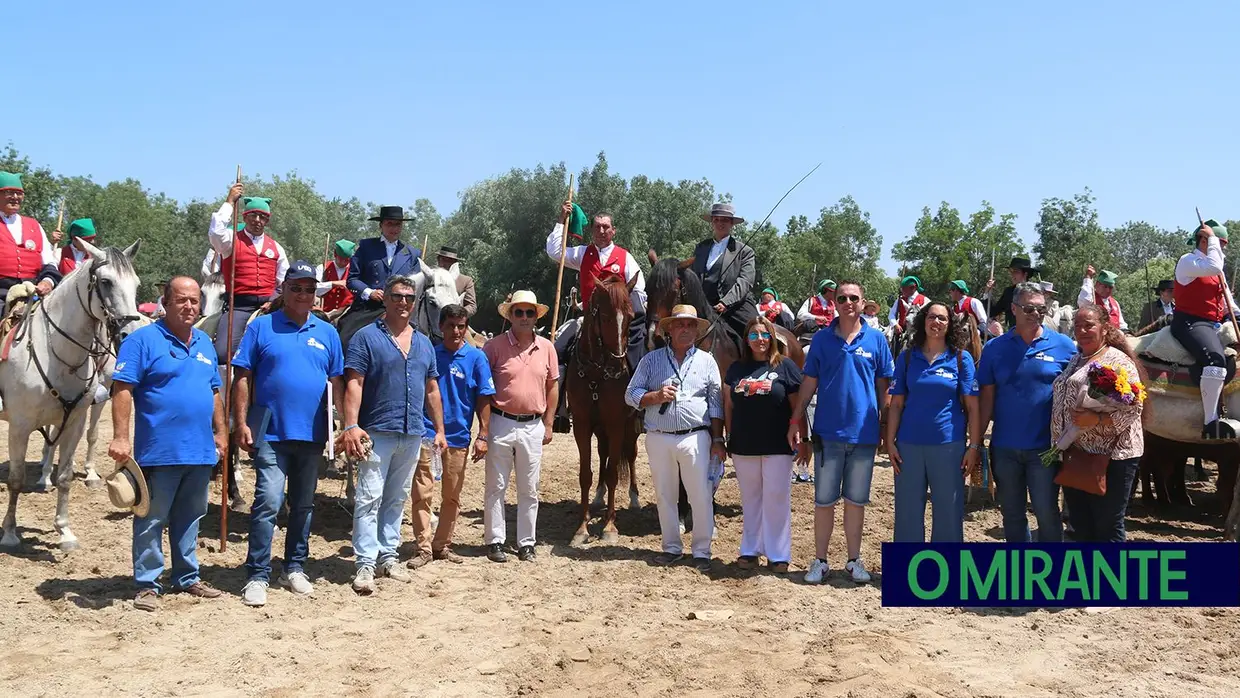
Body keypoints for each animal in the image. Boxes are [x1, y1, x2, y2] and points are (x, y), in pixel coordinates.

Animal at [0, 240, 143, 552]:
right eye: (106, 281)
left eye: (136, 284)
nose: (129, 333)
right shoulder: (19, 427)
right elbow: (16, 480)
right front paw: (10, 534)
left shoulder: (74, 422)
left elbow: (65, 476)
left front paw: (64, 531)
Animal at [567, 273, 639, 545]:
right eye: (606, 317)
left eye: (631, 317)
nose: (618, 367)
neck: (597, 373)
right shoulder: (582, 424)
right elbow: (585, 473)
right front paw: (581, 527)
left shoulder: (617, 424)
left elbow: (613, 474)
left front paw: (609, 526)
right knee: (603, 454)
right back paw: (598, 497)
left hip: (631, 428)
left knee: (630, 456)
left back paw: (634, 497)